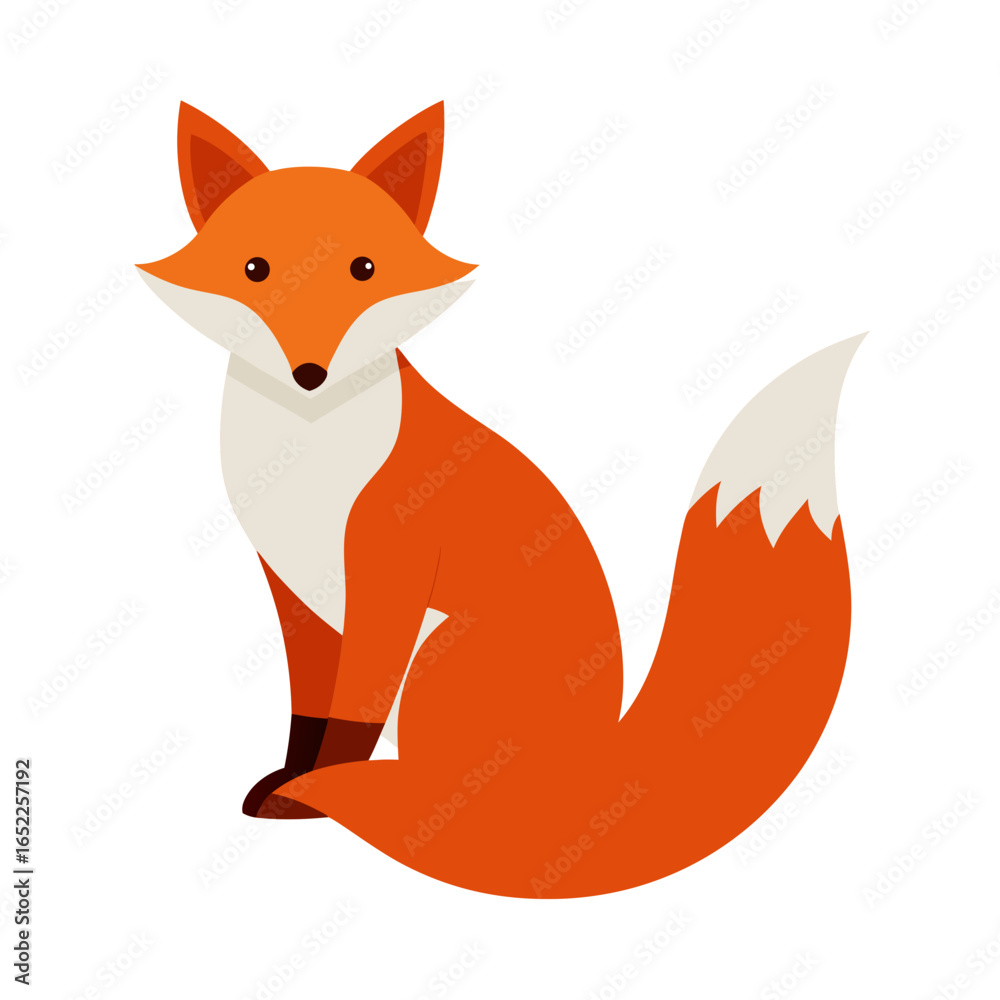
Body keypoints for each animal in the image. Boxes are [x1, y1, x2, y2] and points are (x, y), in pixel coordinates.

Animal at [138, 100, 861, 899]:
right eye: (255, 270)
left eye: (365, 270)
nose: (309, 375)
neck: (308, 454)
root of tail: (597, 772)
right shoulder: (297, 588)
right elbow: (310, 709)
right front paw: (292, 780)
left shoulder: (387, 574)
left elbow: (351, 718)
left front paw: (313, 796)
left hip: (440, 652)